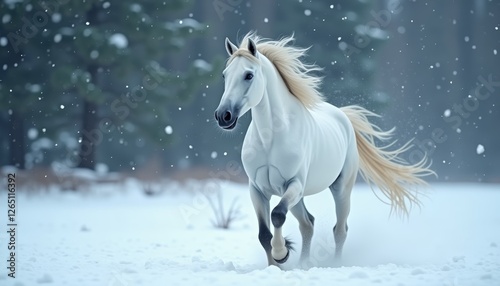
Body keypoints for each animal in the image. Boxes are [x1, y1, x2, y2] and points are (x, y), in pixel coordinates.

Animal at [215, 32, 434, 268]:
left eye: (248, 75)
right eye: (225, 75)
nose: (223, 116)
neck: (270, 139)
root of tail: (343, 116)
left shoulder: (294, 184)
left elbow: (278, 215)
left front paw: (281, 253)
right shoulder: (257, 189)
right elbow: (264, 234)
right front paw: (276, 265)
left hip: (340, 189)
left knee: (339, 230)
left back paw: (334, 263)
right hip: (298, 197)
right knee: (308, 224)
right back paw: (303, 264)